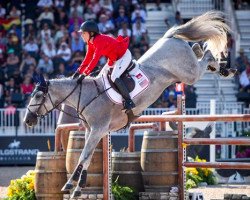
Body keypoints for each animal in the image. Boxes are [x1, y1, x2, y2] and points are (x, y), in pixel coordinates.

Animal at [23, 11, 232, 199]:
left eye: (38, 96)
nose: (28, 120)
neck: (87, 96)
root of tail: (168, 37)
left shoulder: (98, 129)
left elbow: (84, 155)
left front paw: (70, 184)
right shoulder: (92, 130)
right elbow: (87, 157)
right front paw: (77, 186)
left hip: (189, 75)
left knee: (205, 56)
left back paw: (225, 68)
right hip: (186, 71)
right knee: (198, 49)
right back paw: (220, 66)